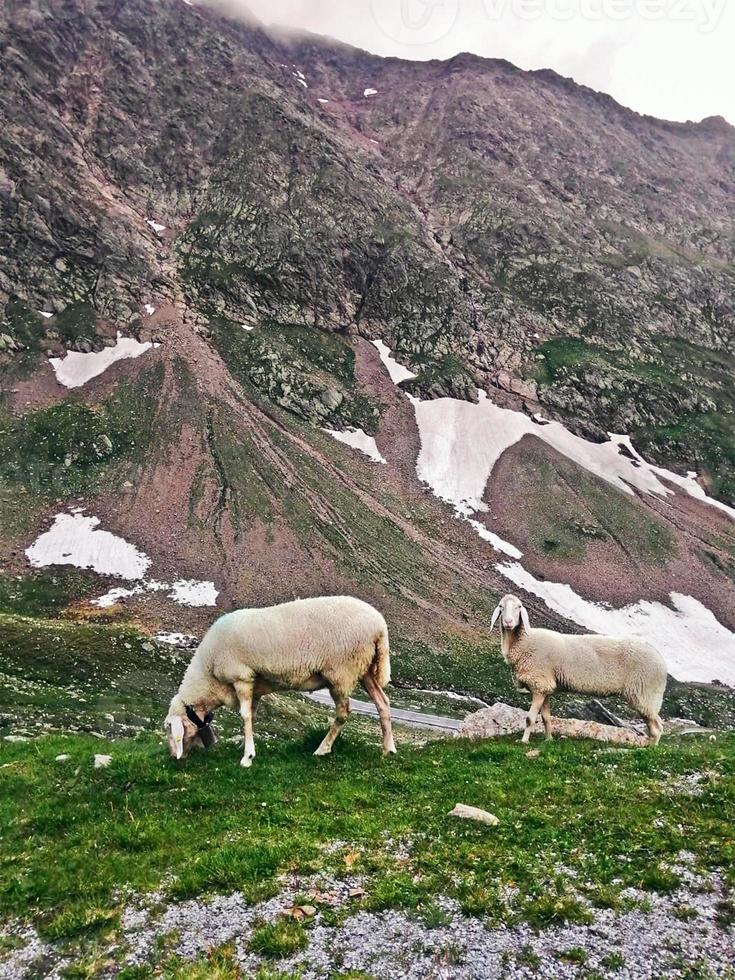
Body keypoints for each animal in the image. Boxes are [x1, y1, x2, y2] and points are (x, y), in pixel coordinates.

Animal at [165, 592, 396, 768]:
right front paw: (245, 745)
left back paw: (322, 749)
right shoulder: (255, 685)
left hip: (341, 672)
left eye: (168, 727)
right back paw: (388, 749)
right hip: (364, 668)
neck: (208, 675)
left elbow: (245, 715)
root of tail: (380, 625)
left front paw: (247, 757)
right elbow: (252, 715)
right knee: (382, 703)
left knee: (344, 712)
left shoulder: (242, 677)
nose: (173, 757)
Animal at [492, 592, 668, 748]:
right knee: (654, 725)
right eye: (501, 606)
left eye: (518, 607)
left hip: (645, 694)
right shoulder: (545, 686)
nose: (508, 622)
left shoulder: (539, 684)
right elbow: (546, 717)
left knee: (657, 726)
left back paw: (650, 749)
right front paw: (548, 740)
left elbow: (530, 718)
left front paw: (523, 741)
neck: (525, 642)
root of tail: (660, 658)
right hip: (645, 696)